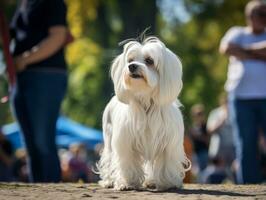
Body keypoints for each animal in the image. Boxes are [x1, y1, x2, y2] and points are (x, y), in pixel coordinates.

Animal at [96, 36, 190, 191]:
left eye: (149, 60)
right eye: (130, 60)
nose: (132, 66)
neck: (146, 100)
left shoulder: (168, 143)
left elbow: (166, 163)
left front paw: (168, 182)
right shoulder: (125, 142)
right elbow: (127, 162)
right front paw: (127, 183)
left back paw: (151, 181)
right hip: (109, 139)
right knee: (108, 158)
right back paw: (108, 181)